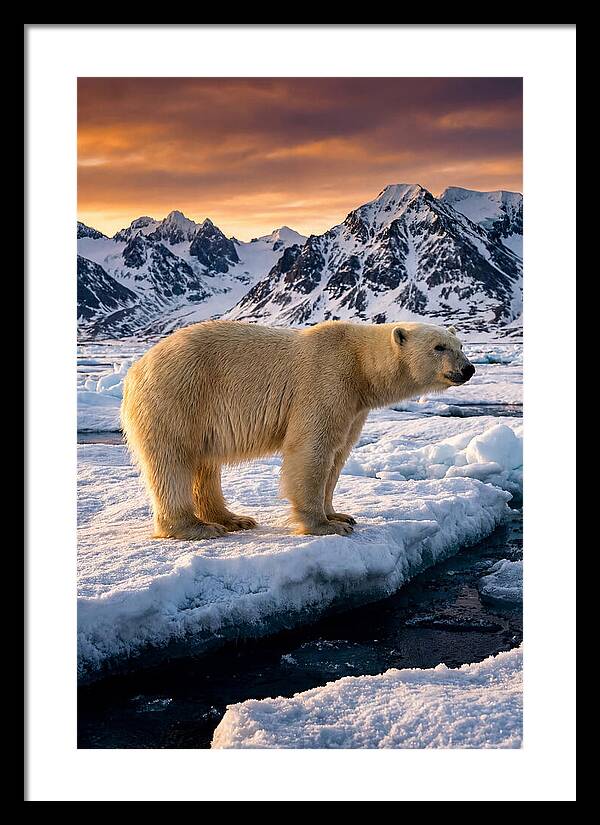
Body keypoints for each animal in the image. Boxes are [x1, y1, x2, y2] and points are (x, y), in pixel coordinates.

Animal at [121, 320, 475, 539]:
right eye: (439, 347)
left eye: (460, 344)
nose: (468, 368)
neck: (360, 365)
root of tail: (136, 368)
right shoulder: (326, 381)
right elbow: (311, 450)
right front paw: (325, 526)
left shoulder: (353, 406)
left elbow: (337, 455)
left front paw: (339, 515)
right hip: (179, 395)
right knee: (173, 460)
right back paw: (196, 527)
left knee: (205, 464)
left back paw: (233, 519)